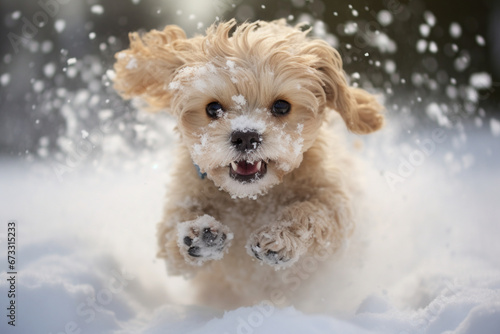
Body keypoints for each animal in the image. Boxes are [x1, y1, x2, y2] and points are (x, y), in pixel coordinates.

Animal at [113, 19, 382, 310]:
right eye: (213, 108)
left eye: (281, 106)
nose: (245, 136)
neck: (251, 199)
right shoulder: (183, 197)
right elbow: (172, 236)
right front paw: (199, 235)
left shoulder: (338, 204)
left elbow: (316, 212)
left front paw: (280, 238)